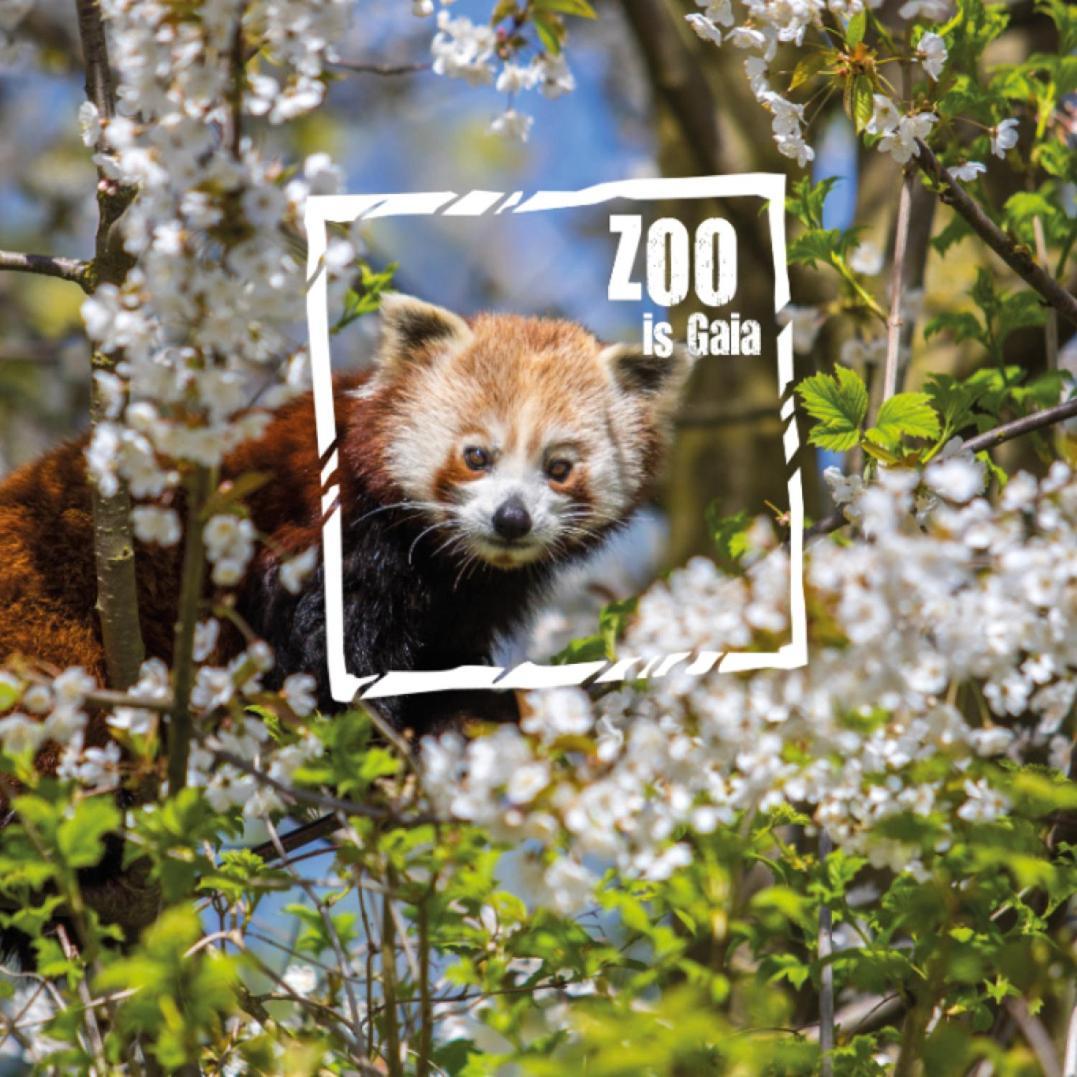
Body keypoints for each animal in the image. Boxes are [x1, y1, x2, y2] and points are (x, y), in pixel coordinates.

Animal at [0, 295, 689, 732]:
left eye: (559, 467)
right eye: (476, 455)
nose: (511, 519)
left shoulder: (472, 600)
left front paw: (470, 713)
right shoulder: (337, 525)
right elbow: (320, 634)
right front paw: (373, 730)